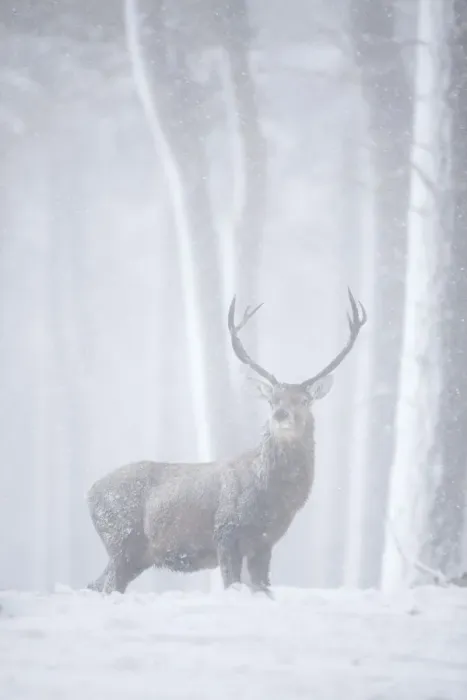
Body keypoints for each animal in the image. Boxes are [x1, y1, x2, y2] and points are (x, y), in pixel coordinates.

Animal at [86, 289, 366, 596]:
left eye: (304, 400)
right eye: (272, 400)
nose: (280, 415)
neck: (272, 498)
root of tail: (89, 492)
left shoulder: (265, 542)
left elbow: (263, 588)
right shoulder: (225, 530)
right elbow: (232, 583)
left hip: (136, 554)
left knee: (95, 584)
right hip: (121, 539)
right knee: (107, 585)